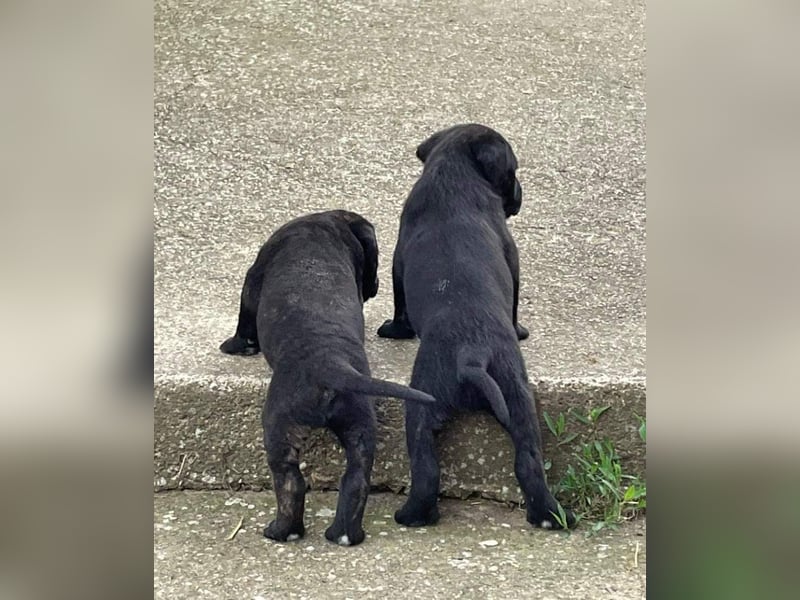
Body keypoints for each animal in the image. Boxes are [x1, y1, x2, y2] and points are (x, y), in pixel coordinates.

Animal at [222, 210, 434, 544]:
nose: (374, 285)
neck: (325, 227)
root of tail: (331, 365)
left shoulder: (253, 278)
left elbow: (244, 320)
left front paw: (235, 346)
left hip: (278, 427)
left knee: (291, 482)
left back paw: (282, 531)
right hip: (360, 427)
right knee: (356, 480)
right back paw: (344, 534)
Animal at [376, 124, 576, 528]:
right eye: (513, 171)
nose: (519, 194)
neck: (454, 172)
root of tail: (472, 354)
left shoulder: (398, 260)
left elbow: (400, 304)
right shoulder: (512, 257)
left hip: (428, 399)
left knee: (426, 466)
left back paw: (412, 515)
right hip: (515, 398)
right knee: (528, 462)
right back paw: (549, 516)